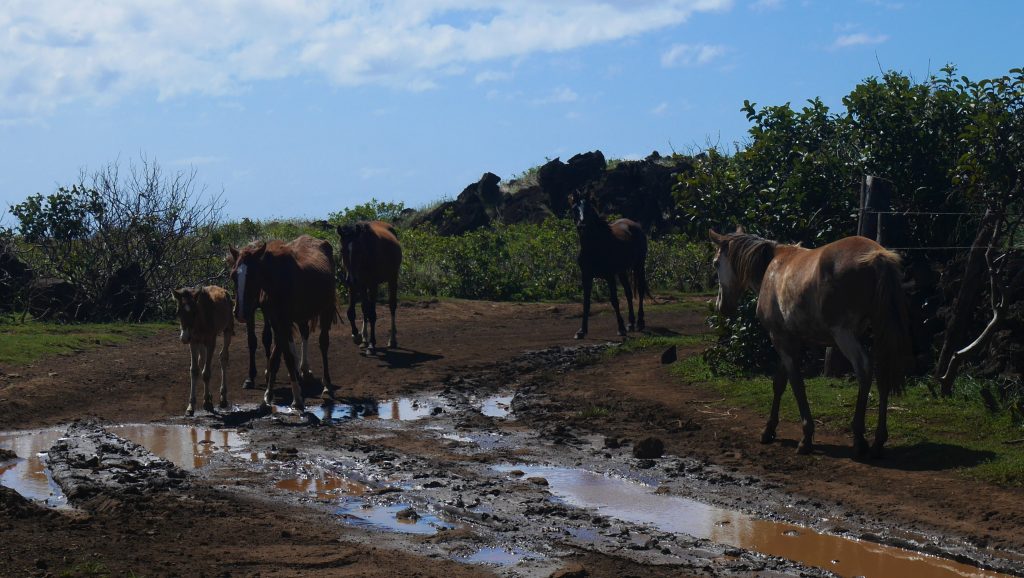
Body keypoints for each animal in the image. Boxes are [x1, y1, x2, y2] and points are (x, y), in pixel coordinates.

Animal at [171, 286, 233, 416]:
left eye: (195, 312)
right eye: (178, 312)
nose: (184, 337)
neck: (201, 321)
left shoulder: (211, 341)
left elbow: (206, 373)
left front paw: (207, 403)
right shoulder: (194, 342)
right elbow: (195, 370)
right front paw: (190, 406)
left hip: (228, 329)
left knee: (223, 357)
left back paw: (223, 398)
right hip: (201, 343)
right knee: (202, 360)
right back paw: (210, 396)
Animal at [229, 235, 337, 410]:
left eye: (253, 275)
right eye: (233, 276)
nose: (240, 312)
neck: (276, 281)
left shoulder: (284, 322)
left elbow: (284, 356)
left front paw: (297, 398)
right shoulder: (276, 321)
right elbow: (278, 357)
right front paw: (268, 395)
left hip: (326, 310)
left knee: (323, 343)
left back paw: (326, 385)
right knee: (305, 333)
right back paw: (304, 370)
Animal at [336, 221, 402, 355]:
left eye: (358, 250)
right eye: (341, 250)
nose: (351, 279)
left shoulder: (372, 285)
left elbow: (372, 314)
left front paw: (372, 344)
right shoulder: (354, 286)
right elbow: (352, 312)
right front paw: (357, 336)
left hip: (392, 278)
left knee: (392, 306)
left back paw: (392, 340)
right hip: (362, 286)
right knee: (364, 308)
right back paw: (364, 338)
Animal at [569, 190, 648, 339]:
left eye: (589, 208)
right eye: (575, 209)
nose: (582, 226)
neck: (595, 246)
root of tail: (635, 225)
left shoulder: (610, 276)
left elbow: (614, 301)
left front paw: (621, 328)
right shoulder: (586, 277)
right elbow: (586, 303)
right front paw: (582, 331)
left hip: (639, 266)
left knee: (640, 291)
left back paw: (640, 323)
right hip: (622, 272)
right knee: (629, 293)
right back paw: (631, 323)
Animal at [709, 227, 912, 458]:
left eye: (716, 263)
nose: (721, 306)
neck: (771, 266)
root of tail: (877, 256)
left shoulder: (780, 338)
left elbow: (797, 385)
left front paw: (806, 437)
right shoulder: (791, 339)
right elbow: (780, 383)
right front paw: (769, 429)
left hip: (844, 335)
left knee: (864, 370)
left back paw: (859, 438)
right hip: (879, 332)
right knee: (882, 373)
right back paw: (878, 440)